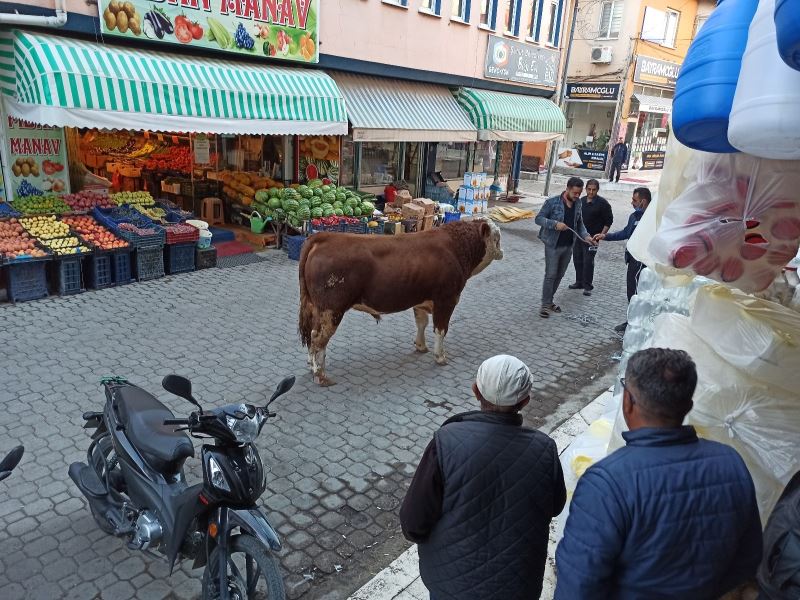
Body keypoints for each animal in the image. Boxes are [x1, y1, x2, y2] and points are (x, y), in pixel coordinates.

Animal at [296, 218, 504, 386]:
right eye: (497, 237)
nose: (502, 251)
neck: (455, 247)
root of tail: (324, 236)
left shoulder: (421, 300)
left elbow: (421, 323)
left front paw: (421, 346)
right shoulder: (447, 299)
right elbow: (440, 329)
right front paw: (440, 357)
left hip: (316, 307)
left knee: (311, 334)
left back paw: (310, 365)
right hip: (331, 310)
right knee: (318, 338)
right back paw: (320, 376)